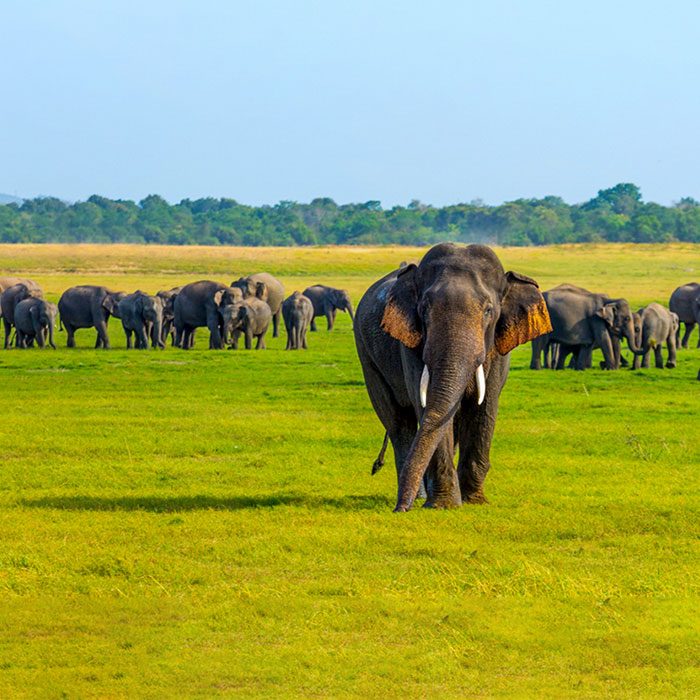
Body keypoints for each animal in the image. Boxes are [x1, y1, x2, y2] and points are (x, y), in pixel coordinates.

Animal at [356, 243, 552, 512]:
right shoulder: (411, 344)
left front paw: (474, 501)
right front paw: (444, 505)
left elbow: (484, 407)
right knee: (398, 422)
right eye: (424, 309)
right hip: (367, 357)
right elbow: (427, 407)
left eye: (488, 311)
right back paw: (419, 497)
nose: (399, 510)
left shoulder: (497, 350)